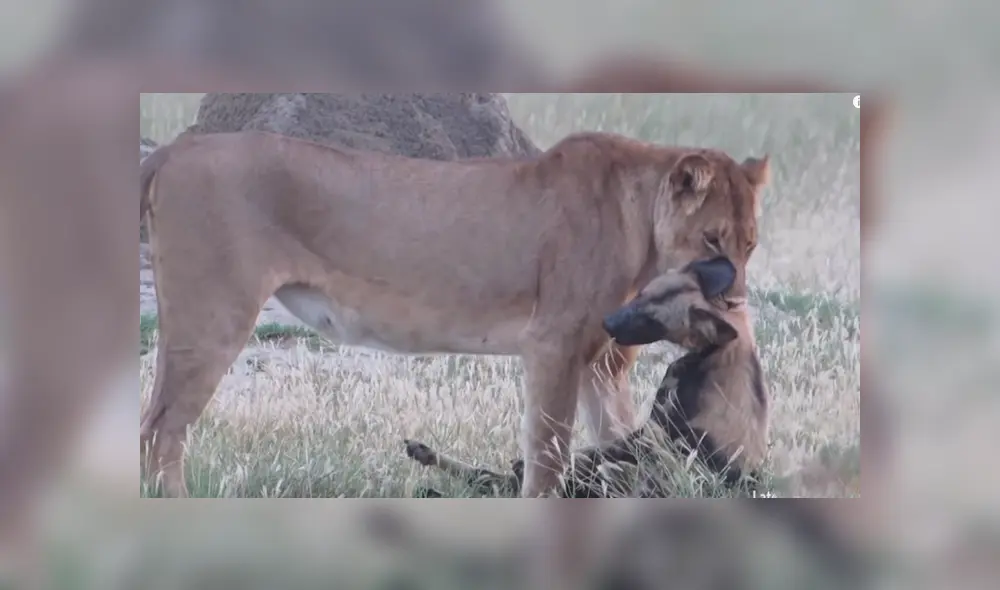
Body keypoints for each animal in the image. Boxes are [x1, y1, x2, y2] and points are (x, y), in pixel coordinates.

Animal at [404, 256, 769, 497]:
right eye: (640, 295)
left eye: (651, 320)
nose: (607, 323)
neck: (714, 352)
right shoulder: (649, 432)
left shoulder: (653, 437)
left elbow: (584, 453)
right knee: (489, 478)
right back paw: (426, 458)